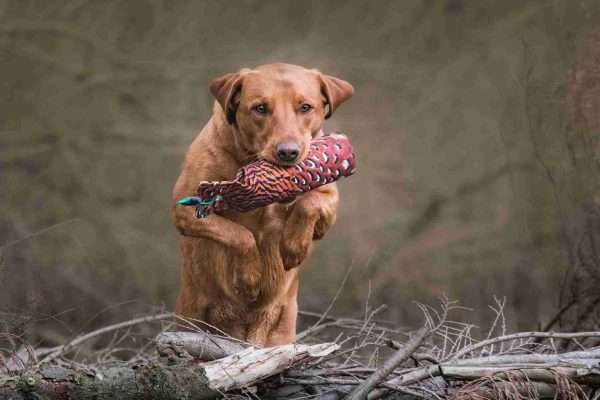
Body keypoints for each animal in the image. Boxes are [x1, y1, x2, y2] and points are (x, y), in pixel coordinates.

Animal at [171, 64, 354, 346]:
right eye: (260, 108)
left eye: (305, 107)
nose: (288, 153)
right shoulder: (184, 209)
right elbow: (239, 233)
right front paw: (250, 278)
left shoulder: (327, 198)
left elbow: (309, 202)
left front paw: (293, 247)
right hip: (191, 320)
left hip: (282, 328)